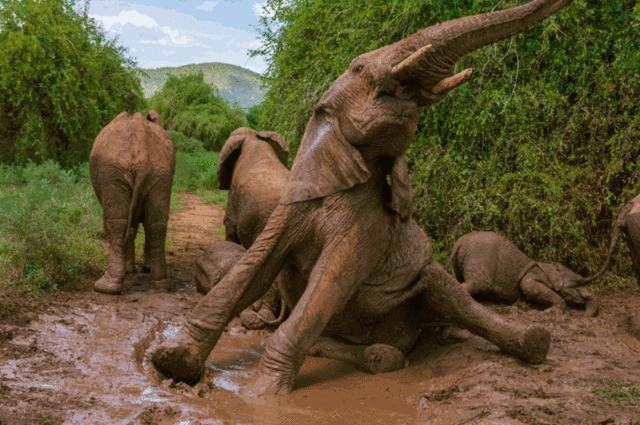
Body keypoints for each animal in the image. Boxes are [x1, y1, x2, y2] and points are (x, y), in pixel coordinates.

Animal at [89, 109, 175, 294]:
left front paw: (131, 271)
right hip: (161, 173)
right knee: (156, 224)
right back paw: (162, 286)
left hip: (112, 172)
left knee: (117, 222)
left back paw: (104, 288)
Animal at [151, 0, 576, 396]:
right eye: (357, 68)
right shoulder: (294, 200)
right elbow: (255, 267)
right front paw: (173, 362)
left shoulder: (367, 228)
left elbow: (331, 279)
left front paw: (260, 395)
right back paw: (377, 354)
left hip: (428, 281)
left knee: (452, 296)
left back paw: (531, 341)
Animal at [444, 230, 600, 316]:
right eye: (576, 284)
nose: (585, 316)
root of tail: (459, 241)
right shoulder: (533, 276)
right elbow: (527, 285)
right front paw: (549, 313)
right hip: (480, 255)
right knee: (479, 283)